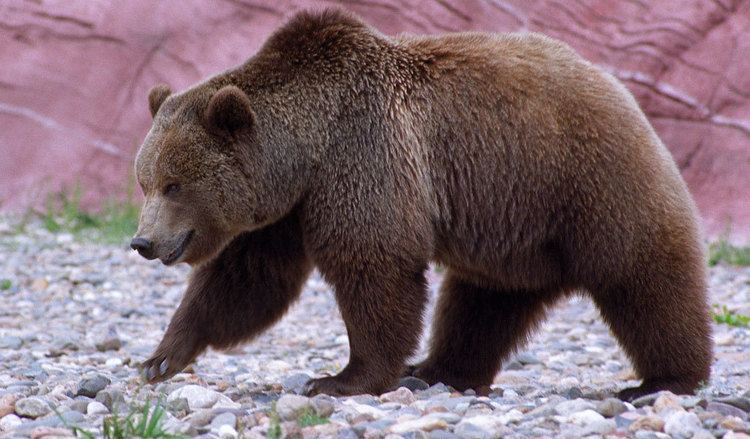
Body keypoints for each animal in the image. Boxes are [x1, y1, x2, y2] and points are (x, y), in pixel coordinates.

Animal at [132, 8, 712, 400]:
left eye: (174, 184)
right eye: (146, 181)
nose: (142, 241)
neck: (306, 152)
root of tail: (616, 85)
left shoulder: (363, 155)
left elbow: (375, 266)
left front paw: (341, 378)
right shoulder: (289, 208)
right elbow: (247, 279)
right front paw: (160, 358)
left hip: (584, 180)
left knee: (641, 275)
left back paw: (664, 379)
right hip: (515, 229)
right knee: (483, 303)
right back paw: (439, 369)